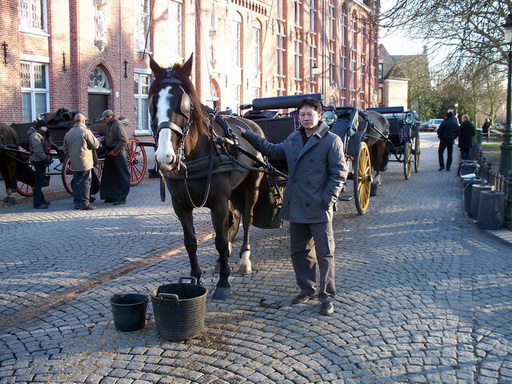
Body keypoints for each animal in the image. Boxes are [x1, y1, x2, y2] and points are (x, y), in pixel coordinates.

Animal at [148, 54, 266, 300]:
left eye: (183, 104)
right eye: (153, 102)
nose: (165, 157)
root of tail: (253, 124)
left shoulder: (218, 201)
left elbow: (219, 240)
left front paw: (223, 282)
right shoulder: (180, 205)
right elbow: (190, 242)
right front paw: (196, 277)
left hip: (252, 185)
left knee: (248, 218)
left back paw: (244, 259)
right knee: (232, 218)